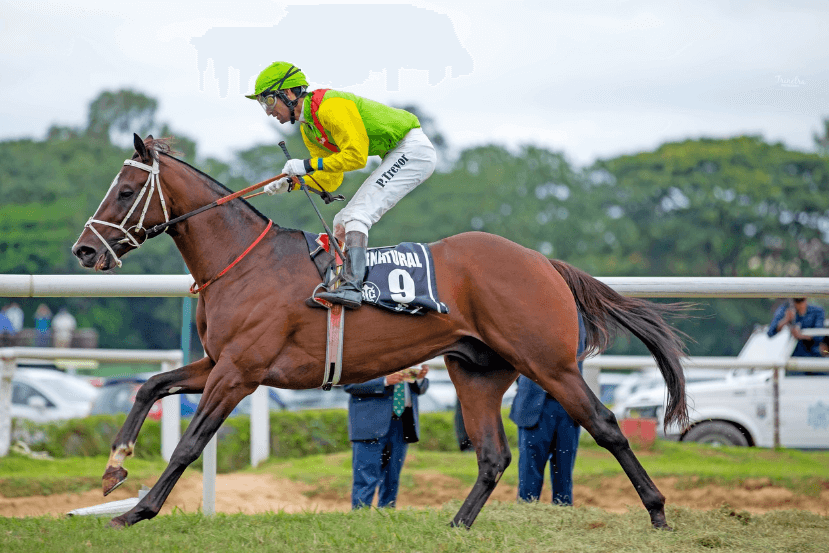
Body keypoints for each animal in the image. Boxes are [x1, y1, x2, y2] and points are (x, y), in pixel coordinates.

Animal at [72, 134, 689, 529]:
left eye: (125, 191)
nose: (84, 250)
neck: (243, 262)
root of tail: (544, 262)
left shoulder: (239, 372)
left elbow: (189, 444)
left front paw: (136, 512)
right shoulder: (216, 362)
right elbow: (150, 386)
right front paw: (114, 469)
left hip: (550, 363)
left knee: (605, 426)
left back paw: (658, 512)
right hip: (478, 372)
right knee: (493, 455)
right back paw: (457, 525)